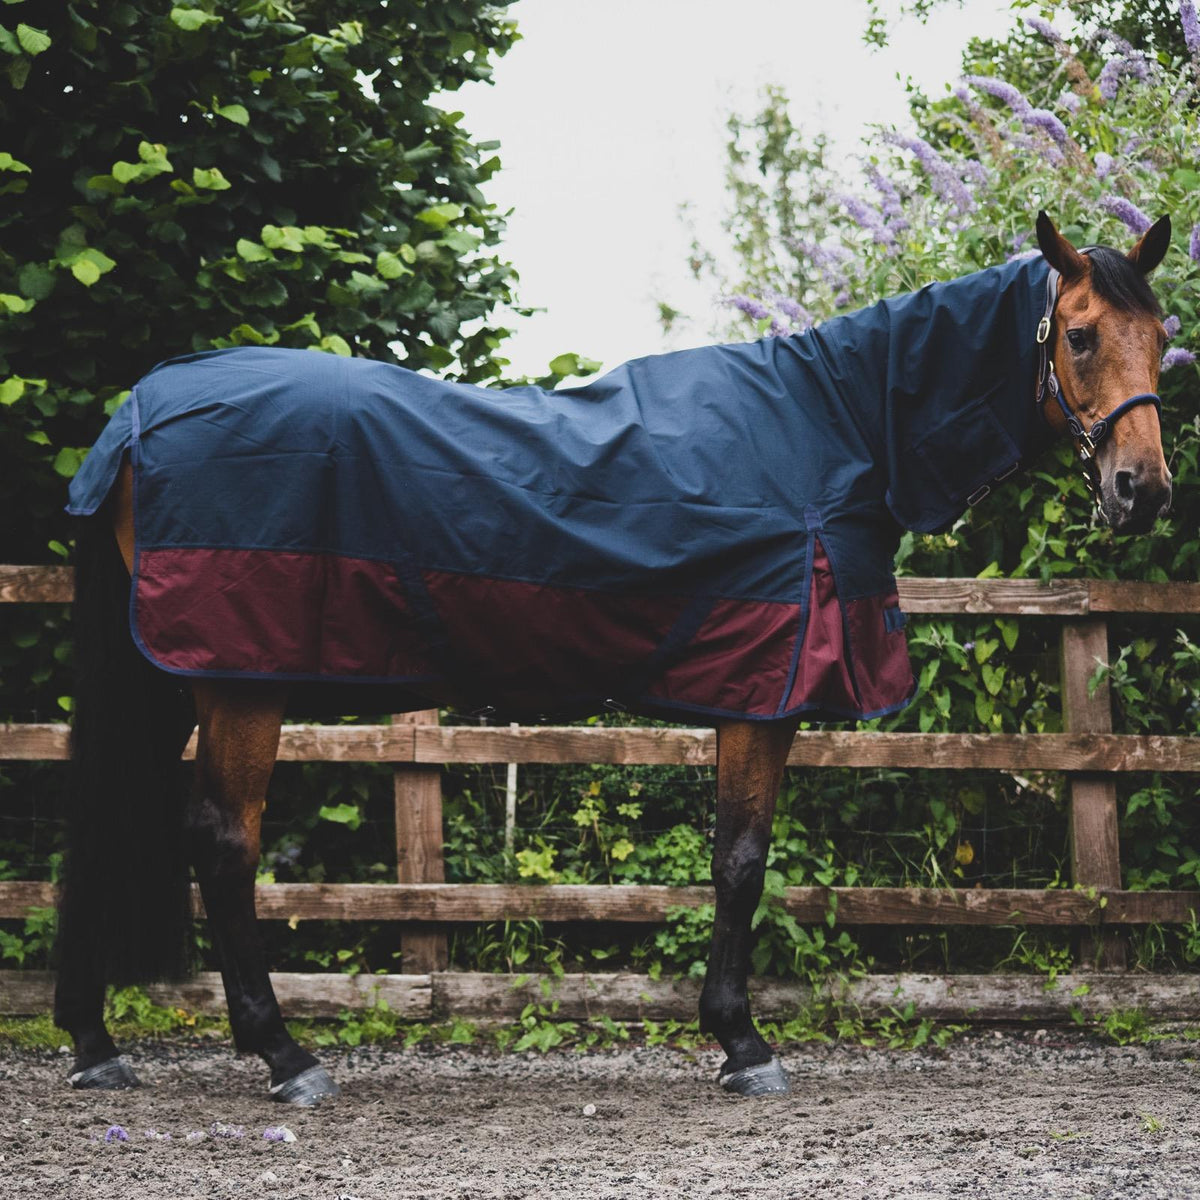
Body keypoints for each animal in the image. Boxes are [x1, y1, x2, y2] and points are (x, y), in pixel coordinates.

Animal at [53, 212, 1173, 1104]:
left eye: (1162, 340)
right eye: (1079, 336)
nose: (1145, 489)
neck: (831, 426)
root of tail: (140, 413)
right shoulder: (762, 699)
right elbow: (741, 861)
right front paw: (742, 1042)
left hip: (169, 675)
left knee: (105, 823)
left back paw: (96, 1045)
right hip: (237, 683)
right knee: (223, 845)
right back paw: (284, 1056)